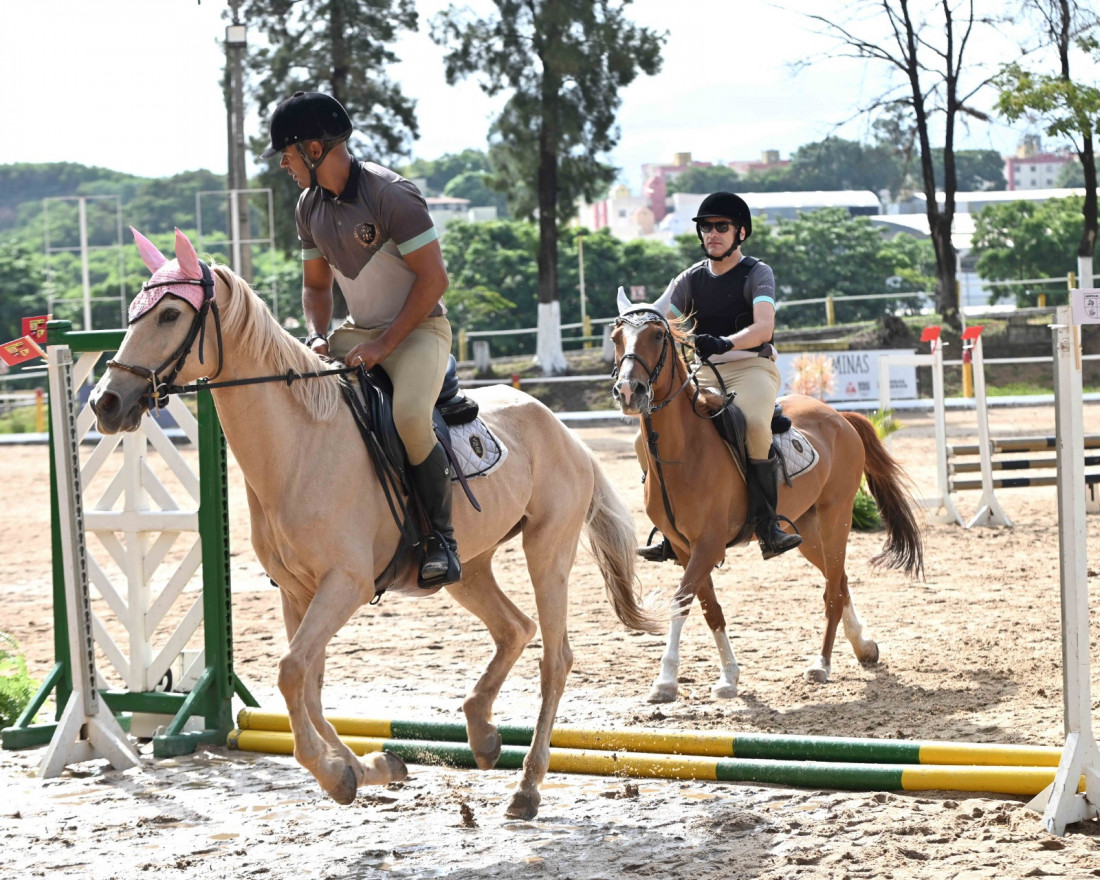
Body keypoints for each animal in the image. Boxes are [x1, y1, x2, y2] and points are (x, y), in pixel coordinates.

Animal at [88, 228, 662, 820]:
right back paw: (481, 734)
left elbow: (291, 672)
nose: (105, 403)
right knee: (514, 629)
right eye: (133, 314)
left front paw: (339, 772)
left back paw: (525, 787)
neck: (300, 445)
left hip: (546, 549)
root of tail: (559, 426)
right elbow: (306, 682)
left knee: (554, 658)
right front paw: (368, 766)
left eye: (170, 314)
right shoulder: (297, 592)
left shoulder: (345, 584)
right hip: (469, 569)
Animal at [609, 290, 924, 702]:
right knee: (838, 580)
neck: (683, 449)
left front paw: (665, 680)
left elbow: (681, 600)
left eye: (658, 337)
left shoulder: (708, 544)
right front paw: (729, 676)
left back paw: (822, 664)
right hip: (806, 529)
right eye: (616, 338)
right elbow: (710, 608)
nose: (629, 392)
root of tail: (840, 417)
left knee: (832, 590)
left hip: (835, 516)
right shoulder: (683, 547)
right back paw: (864, 647)